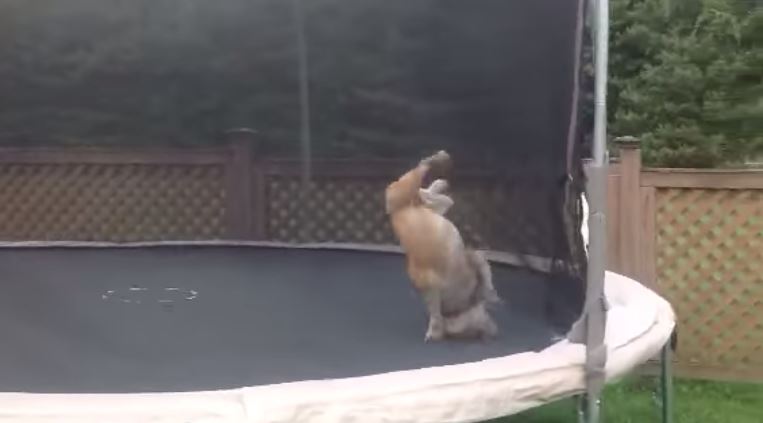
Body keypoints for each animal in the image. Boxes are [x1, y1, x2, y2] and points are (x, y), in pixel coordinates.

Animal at [388, 152, 502, 342]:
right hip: (401, 191)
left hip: (418, 202)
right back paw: (434, 162)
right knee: (421, 175)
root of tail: (395, 213)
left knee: (427, 195)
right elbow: (483, 270)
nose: (493, 332)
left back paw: (434, 183)